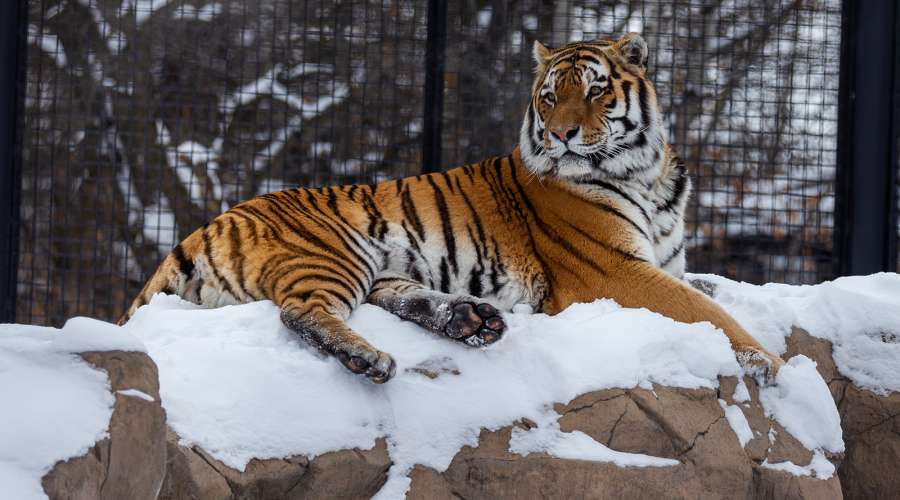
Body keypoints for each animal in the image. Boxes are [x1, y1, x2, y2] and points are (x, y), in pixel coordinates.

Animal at [120, 33, 782, 384]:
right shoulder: (615, 271)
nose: (563, 134)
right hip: (333, 252)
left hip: (382, 268)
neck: (646, 175)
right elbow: (704, 311)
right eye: (549, 97)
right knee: (301, 312)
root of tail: (209, 223)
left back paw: (468, 319)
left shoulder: (663, 263)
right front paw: (768, 360)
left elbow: (710, 287)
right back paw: (368, 356)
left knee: (398, 297)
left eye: (596, 90)